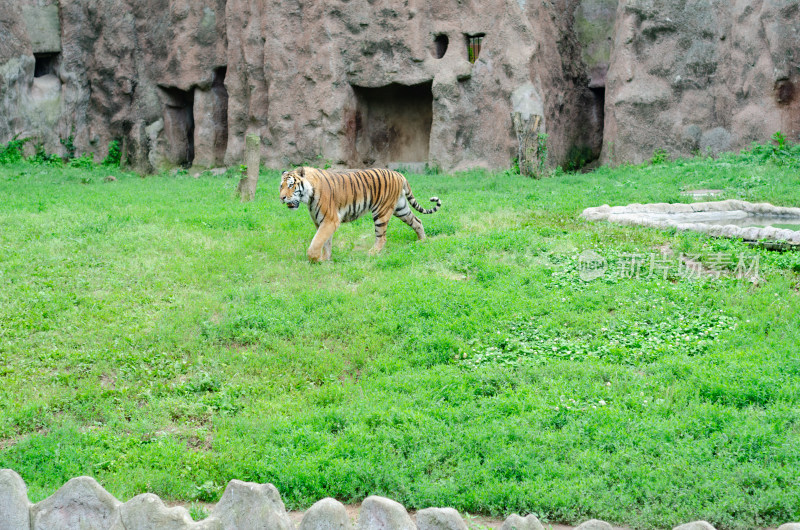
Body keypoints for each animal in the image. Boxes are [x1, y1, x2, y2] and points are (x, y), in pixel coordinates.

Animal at [280, 166, 444, 260]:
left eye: (291, 185)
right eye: (281, 186)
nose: (281, 198)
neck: (308, 197)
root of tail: (399, 174)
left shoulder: (330, 220)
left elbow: (317, 242)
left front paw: (314, 259)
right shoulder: (320, 221)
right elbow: (325, 242)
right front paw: (326, 259)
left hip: (381, 211)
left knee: (382, 237)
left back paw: (372, 253)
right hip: (401, 208)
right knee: (417, 221)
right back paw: (422, 241)